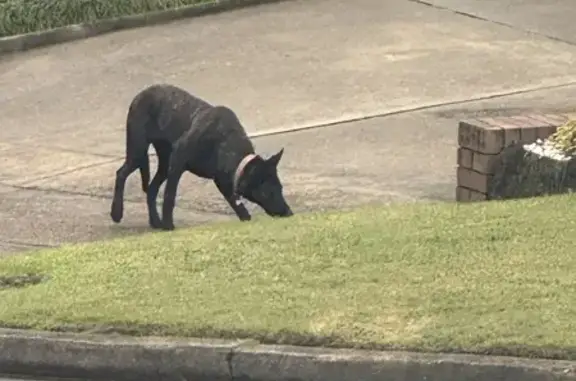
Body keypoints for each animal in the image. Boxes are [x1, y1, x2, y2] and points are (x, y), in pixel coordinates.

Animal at [111, 84, 294, 230]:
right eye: (268, 192)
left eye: (280, 188)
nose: (289, 213)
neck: (225, 140)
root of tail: (140, 94)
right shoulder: (178, 162)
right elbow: (170, 196)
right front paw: (169, 226)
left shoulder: (222, 180)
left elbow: (236, 204)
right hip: (139, 152)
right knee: (121, 173)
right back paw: (116, 212)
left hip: (164, 163)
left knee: (151, 189)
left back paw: (155, 222)